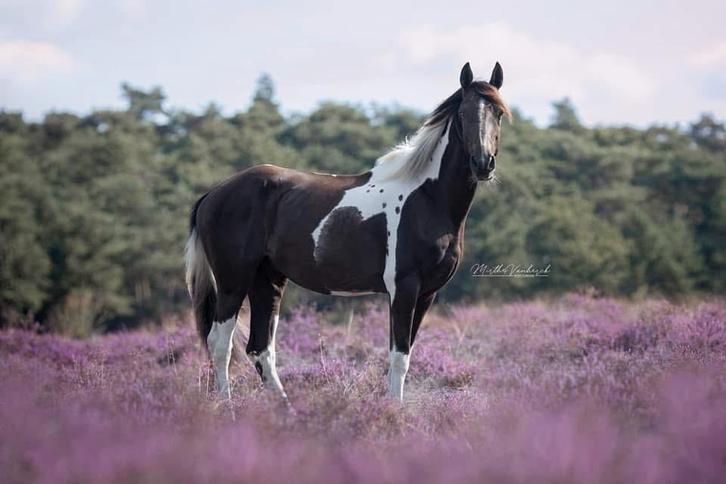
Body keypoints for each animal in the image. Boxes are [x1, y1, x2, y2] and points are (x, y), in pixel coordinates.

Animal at [185, 62, 509, 401]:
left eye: (498, 112)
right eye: (463, 114)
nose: (483, 164)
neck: (427, 198)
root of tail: (213, 194)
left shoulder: (427, 293)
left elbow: (405, 354)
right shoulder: (403, 288)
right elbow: (399, 359)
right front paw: (394, 410)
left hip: (267, 280)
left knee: (260, 349)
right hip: (233, 282)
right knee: (220, 344)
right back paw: (228, 404)